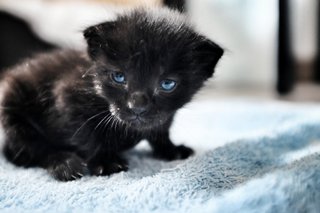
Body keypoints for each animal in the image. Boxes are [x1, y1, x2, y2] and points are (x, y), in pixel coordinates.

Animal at [0, 8, 222, 181]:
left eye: (167, 84)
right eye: (119, 77)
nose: (137, 107)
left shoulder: (164, 117)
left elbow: (160, 131)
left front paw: (170, 149)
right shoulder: (64, 96)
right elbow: (87, 134)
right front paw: (105, 161)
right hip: (13, 110)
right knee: (27, 151)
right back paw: (64, 163)